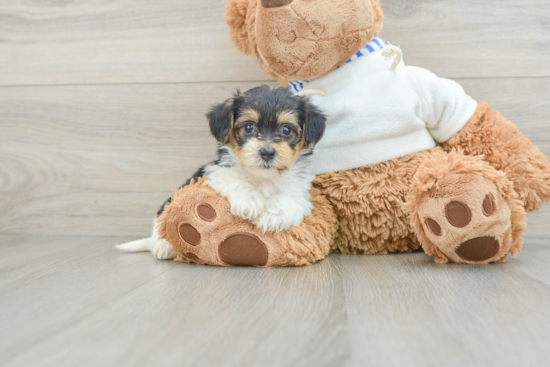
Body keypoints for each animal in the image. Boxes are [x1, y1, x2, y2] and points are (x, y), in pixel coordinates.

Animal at [114, 86, 326, 260]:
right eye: (249, 127)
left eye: (286, 129)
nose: (267, 152)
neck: (261, 177)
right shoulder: (214, 173)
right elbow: (236, 181)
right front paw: (250, 201)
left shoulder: (299, 191)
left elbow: (288, 199)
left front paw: (273, 216)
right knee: (159, 224)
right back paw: (163, 245)